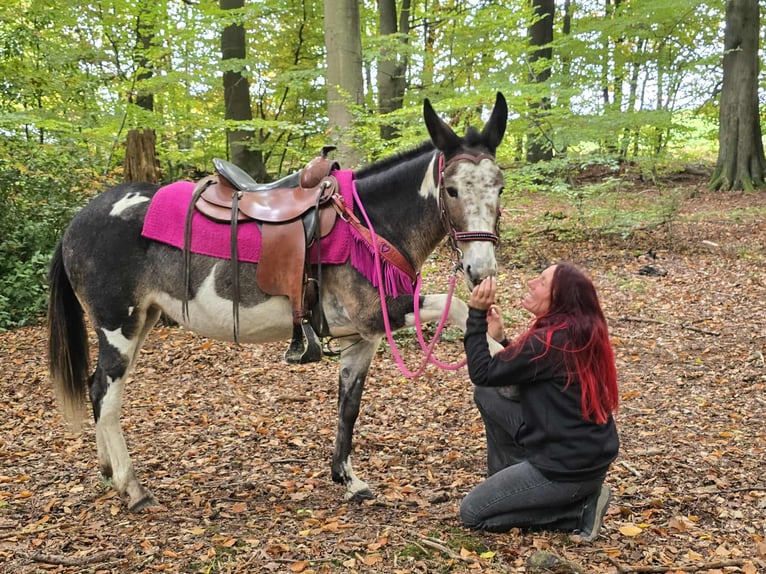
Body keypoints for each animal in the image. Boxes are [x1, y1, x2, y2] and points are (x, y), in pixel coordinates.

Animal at [47, 93, 508, 511]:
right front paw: (501, 351)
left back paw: (109, 473)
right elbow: (457, 307)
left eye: (500, 187)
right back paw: (133, 488)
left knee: (97, 388)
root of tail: (78, 219)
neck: (370, 223)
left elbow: (349, 406)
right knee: (106, 394)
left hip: (143, 320)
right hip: (118, 325)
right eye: (451, 189)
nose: (481, 268)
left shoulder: (362, 337)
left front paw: (348, 478)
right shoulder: (380, 313)